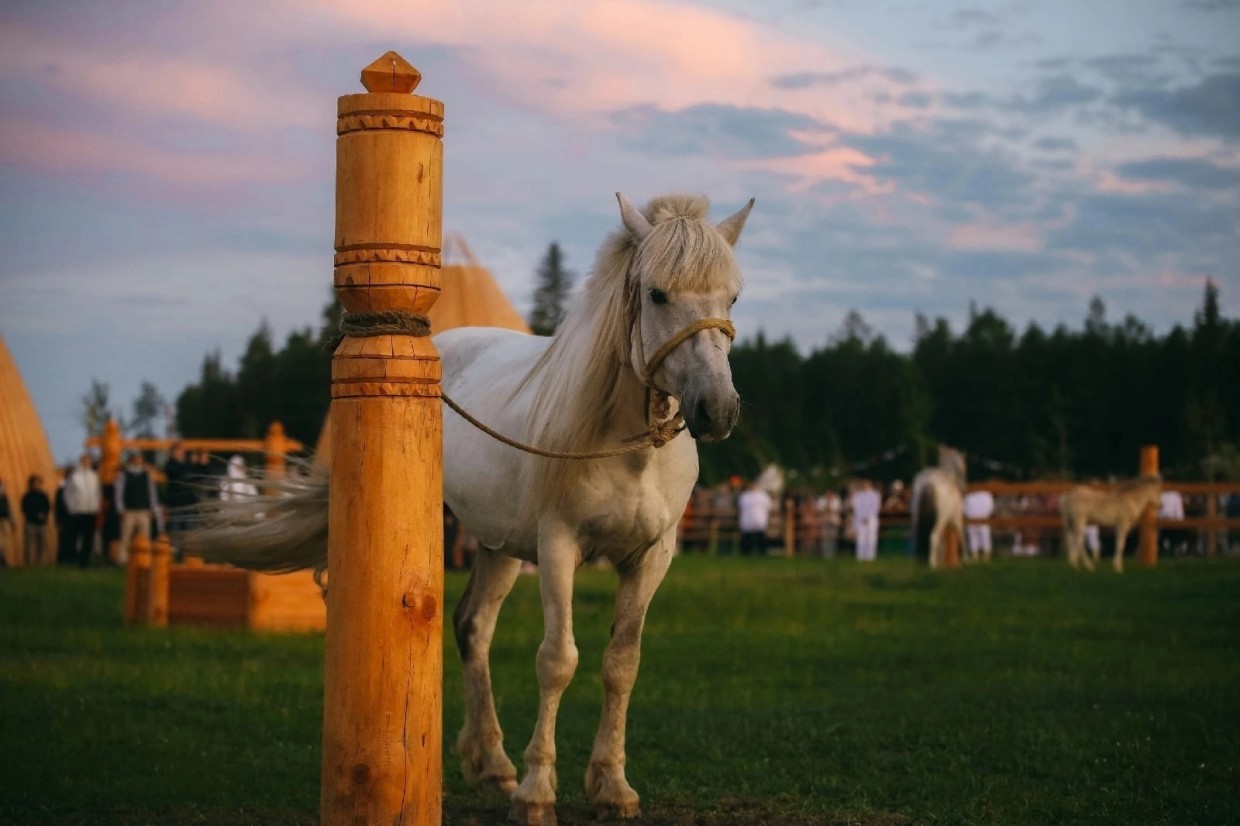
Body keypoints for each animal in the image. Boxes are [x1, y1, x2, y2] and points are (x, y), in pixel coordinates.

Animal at [194, 190, 753, 818]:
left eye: (731, 296)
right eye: (657, 293)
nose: (717, 409)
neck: (628, 447)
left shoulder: (651, 557)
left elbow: (621, 665)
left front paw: (611, 786)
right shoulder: (557, 547)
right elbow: (557, 661)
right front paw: (537, 794)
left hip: (498, 545)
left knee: (472, 626)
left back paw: (492, 764)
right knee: (470, 628)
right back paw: (500, 768)